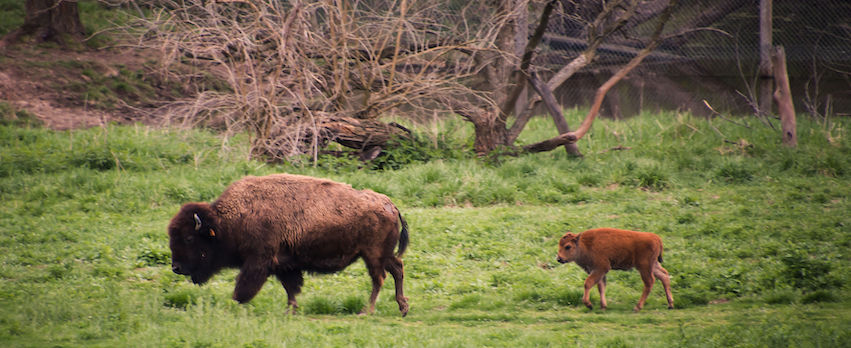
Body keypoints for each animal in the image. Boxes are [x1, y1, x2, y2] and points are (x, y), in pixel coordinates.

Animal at [168, 173, 412, 316]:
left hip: (372, 255)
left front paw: (233, 303)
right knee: (397, 268)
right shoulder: (284, 264)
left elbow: (244, 286)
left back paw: (366, 311)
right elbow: (291, 287)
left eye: (189, 238)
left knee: (379, 278)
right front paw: (291, 310)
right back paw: (403, 307)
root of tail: (390, 204)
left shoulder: (259, 262)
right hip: (382, 254)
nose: (176, 267)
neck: (227, 221)